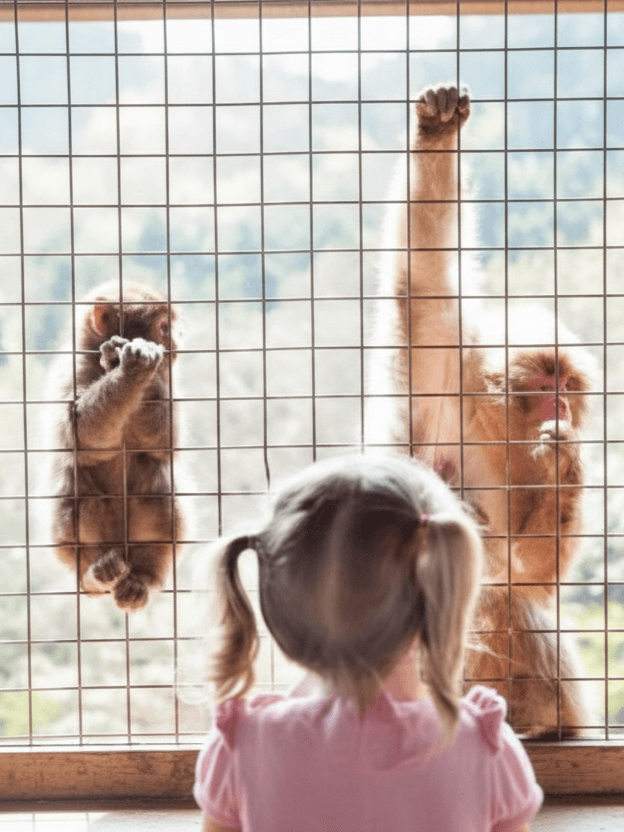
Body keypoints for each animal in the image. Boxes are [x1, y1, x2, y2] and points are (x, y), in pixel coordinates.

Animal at [51, 282, 184, 612]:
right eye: (163, 327)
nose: (176, 342)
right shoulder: (74, 370)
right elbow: (80, 436)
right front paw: (131, 371)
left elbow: (165, 445)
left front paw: (137, 368)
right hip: (71, 544)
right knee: (84, 495)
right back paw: (96, 575)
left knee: (157, 486)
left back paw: (142, 580)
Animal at [367, 84, 593, 737]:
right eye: (545, 377)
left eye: (568, 382)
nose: (560, 399)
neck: (496, 425)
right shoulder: (444, 371)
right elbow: (424, 280)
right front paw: (439, 129)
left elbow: (531, 570)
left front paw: (567, 464)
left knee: (509, 593)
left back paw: (541, 722)